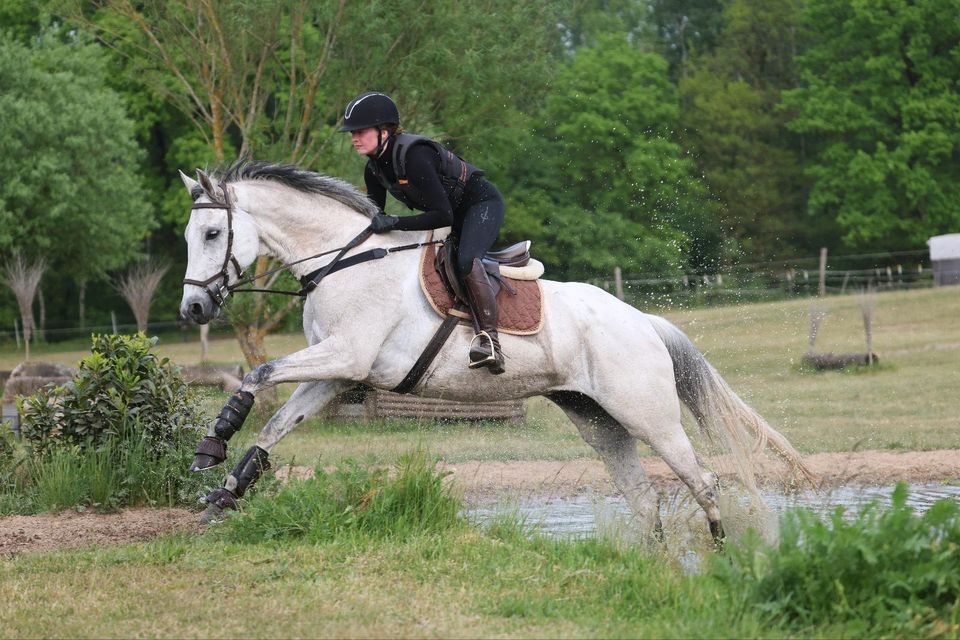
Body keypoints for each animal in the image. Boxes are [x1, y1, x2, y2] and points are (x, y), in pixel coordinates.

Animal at [180, 162, 808, 544]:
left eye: (212, 234)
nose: (193, 308)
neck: (343, 260)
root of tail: (643, 322)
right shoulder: (336, 371)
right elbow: (276, 423)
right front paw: (223, 491)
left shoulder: (348, 357)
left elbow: (259, 373)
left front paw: (211, 447)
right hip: (597, 419)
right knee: (642, 496)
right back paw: (657, 566)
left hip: (647, 414)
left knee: (701, 480)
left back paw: (720, 561)